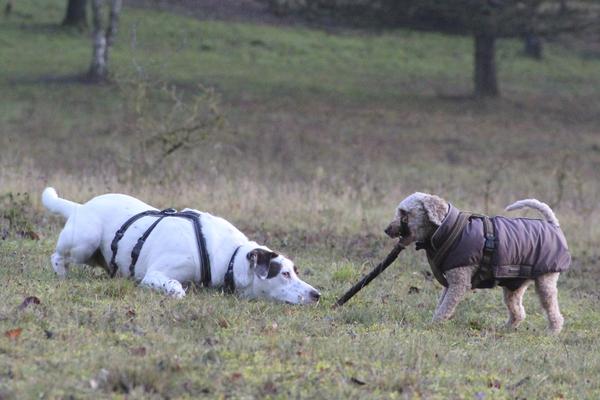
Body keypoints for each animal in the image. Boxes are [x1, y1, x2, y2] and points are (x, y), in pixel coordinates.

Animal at [42, 188, 322, 304]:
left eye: (296, 271)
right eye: (284, 274)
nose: (317, 295)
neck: (230, 258)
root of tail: (80, 206)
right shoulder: (156, 274)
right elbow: (177, 288)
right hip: (84, 242)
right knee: (56, 257)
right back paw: (62, 275)